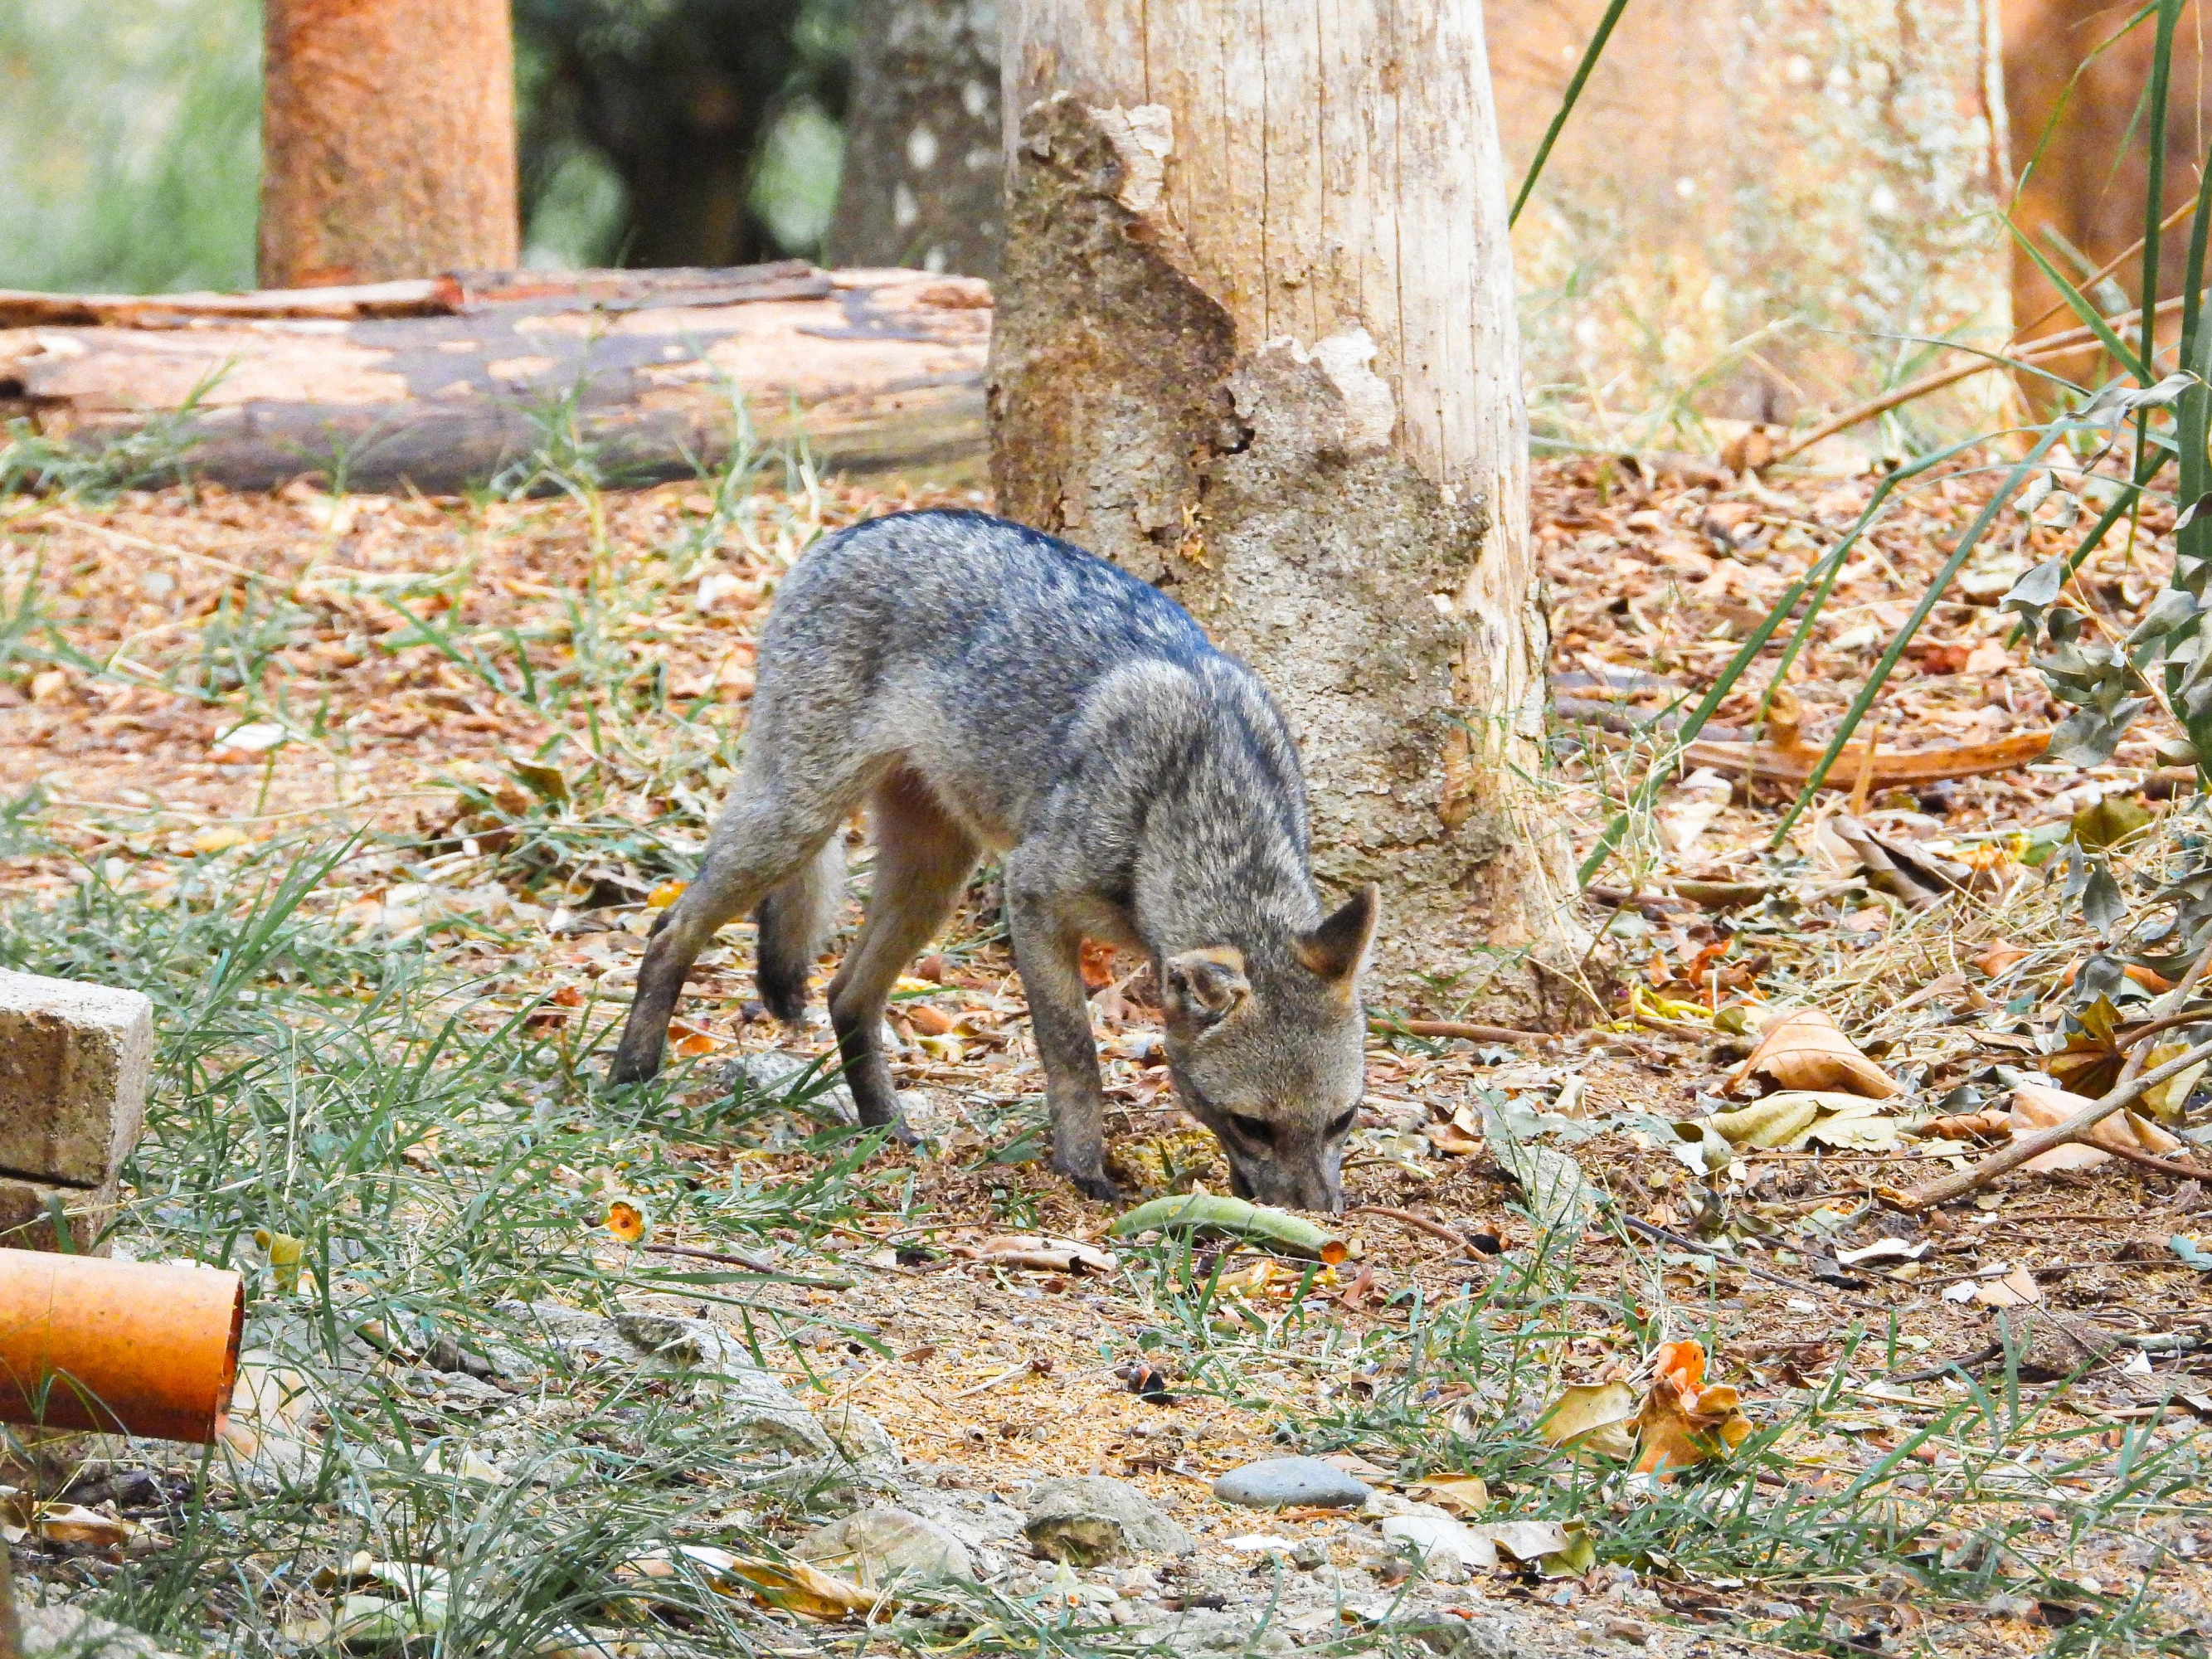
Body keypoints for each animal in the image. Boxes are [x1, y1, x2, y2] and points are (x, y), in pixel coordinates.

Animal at [615, 506, 1371, 1212]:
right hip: (797, 825)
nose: (1319, 1219)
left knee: (845, 995)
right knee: (671, 930)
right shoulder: (1032, 898)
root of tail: (854, 529)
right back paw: (632, 1076)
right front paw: (1082, 1171)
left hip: (931, 881)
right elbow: (1074, 1052)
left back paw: (886, 1131)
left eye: (1342, 1120)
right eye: (1252, 1124)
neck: (1199, 797)